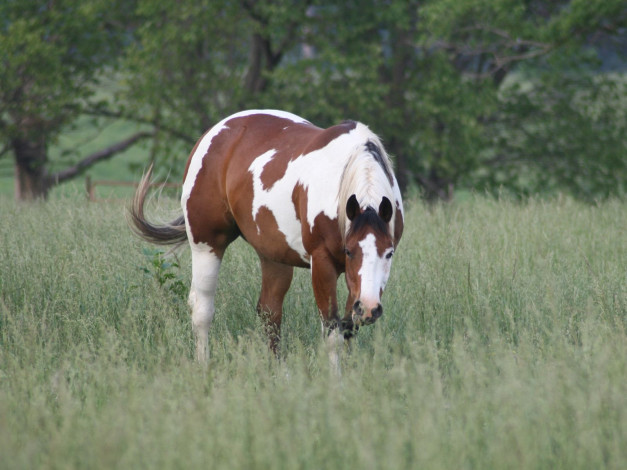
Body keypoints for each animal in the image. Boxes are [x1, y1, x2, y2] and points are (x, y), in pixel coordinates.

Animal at [130, 108, 404, 362]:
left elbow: (348, 330)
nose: (369, 308)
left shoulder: (355, 282)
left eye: (389, 253)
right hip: (206, 244)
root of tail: (211, 135)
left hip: (273, 257)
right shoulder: (323, 264)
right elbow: (332, 333)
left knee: (269, 313)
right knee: (202, 309)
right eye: (349, 251)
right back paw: (203, 365)